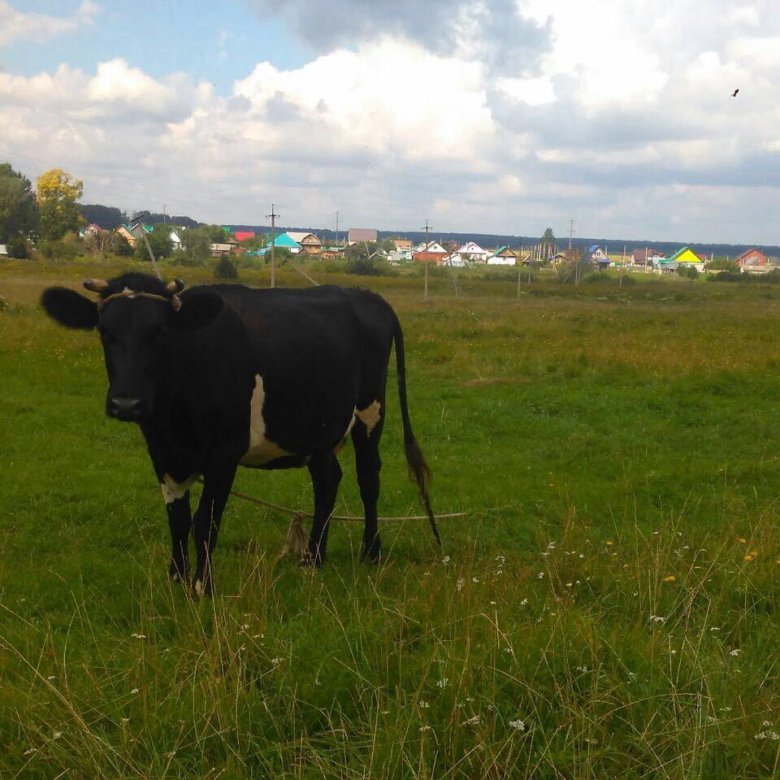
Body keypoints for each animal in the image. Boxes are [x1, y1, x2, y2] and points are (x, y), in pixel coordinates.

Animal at [42, 272, 438, 596]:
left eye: (160, 333)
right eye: (104, 332)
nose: (126, 403)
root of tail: (364, 294)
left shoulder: (224, 454)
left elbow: (205, 522)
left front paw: (203, 587)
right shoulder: (162, 451)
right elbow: (177, 520)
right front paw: (176, 579)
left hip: (370, 409)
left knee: (368, 478)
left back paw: (371, 553)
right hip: (316, 425)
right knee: (328, 481)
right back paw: (313, 559)